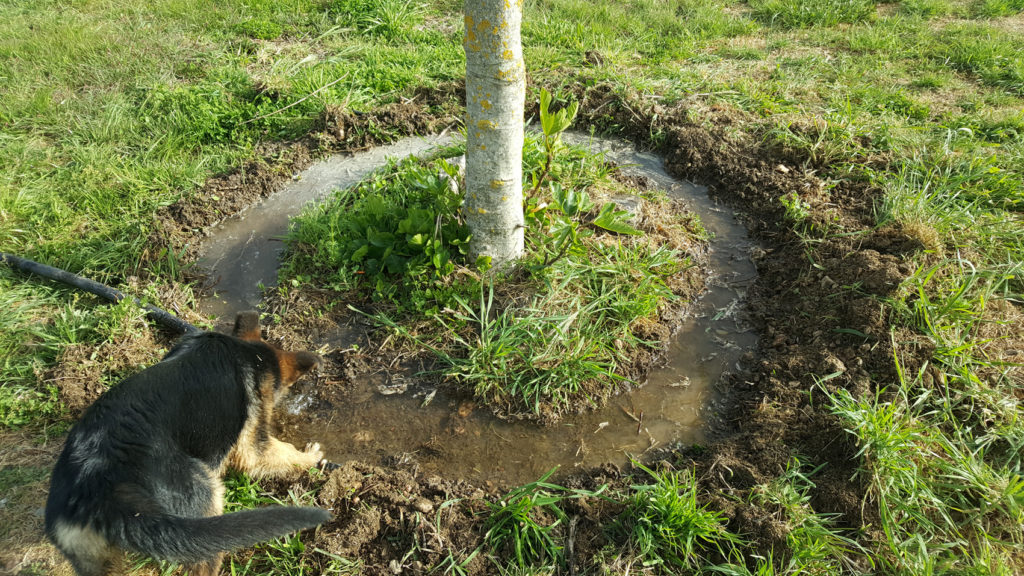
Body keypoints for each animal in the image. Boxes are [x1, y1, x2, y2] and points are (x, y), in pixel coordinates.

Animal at [46, 311, 329, 573]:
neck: (250, 352)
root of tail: (100, 490)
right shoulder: (253, 440)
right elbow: (276, 453)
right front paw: (310, 455)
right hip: (204, 502)